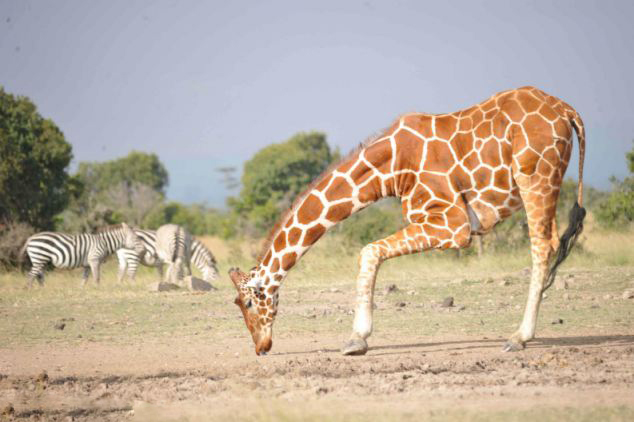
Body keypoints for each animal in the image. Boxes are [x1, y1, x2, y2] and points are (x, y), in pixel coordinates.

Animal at [227, 85, 584, 356]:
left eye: (248, 302)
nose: (261, 347)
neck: (390, 170)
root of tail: (568, 112)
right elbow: (371, 252)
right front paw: (358, 338)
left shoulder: (454, 225)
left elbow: (369, 251)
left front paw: (356, 339)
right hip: (546, 182)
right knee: (552, 242)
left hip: (534, 178)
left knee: (541, 246)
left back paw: (518, 338)